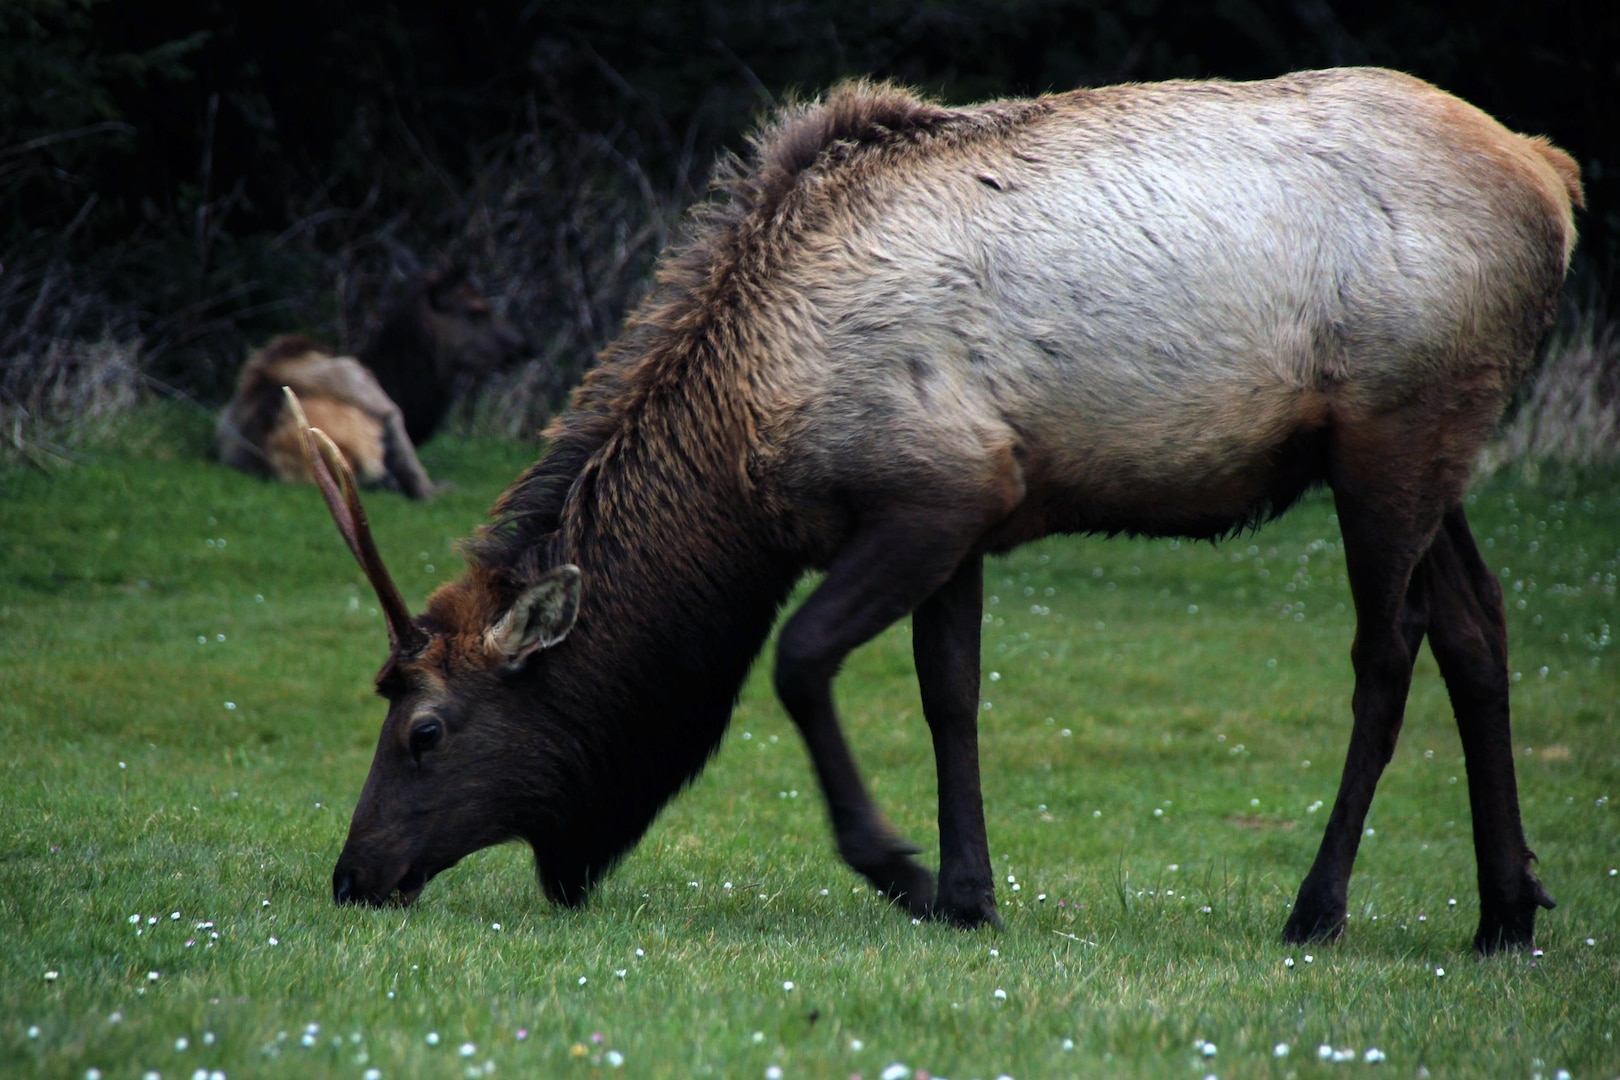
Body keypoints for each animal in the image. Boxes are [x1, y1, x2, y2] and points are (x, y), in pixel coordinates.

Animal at [301, 71, 1581, 952]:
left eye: (425, 732)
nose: (353, 874)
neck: (746, 454)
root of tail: (1552, 180)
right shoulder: (964, 518)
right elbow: (950, 694)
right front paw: (972, 893)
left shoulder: (939, 491)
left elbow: (801, 657)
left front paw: (901, 870)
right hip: (1433, 451)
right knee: (1477, 624)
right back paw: (1506, 909)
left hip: (1394, 431)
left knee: (1388, 648)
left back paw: (1318, 907)